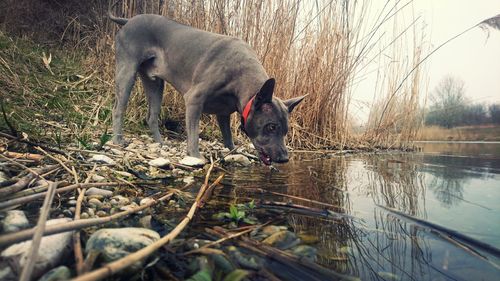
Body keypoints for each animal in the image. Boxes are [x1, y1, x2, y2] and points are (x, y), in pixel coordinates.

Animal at [109, 7, 304, 165]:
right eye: (271, 127)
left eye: (286, 130)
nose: (284, 158)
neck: (241, 75)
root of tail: (128, 20)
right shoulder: (194, 100)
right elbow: (194, 134)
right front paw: (195, 156)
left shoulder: (224, 114)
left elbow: (228, 137)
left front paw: (234, 152)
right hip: (127, 71)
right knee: (118, 109)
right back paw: (118, 141)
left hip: (155, 84)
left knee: (151, 116)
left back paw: (161, 143)